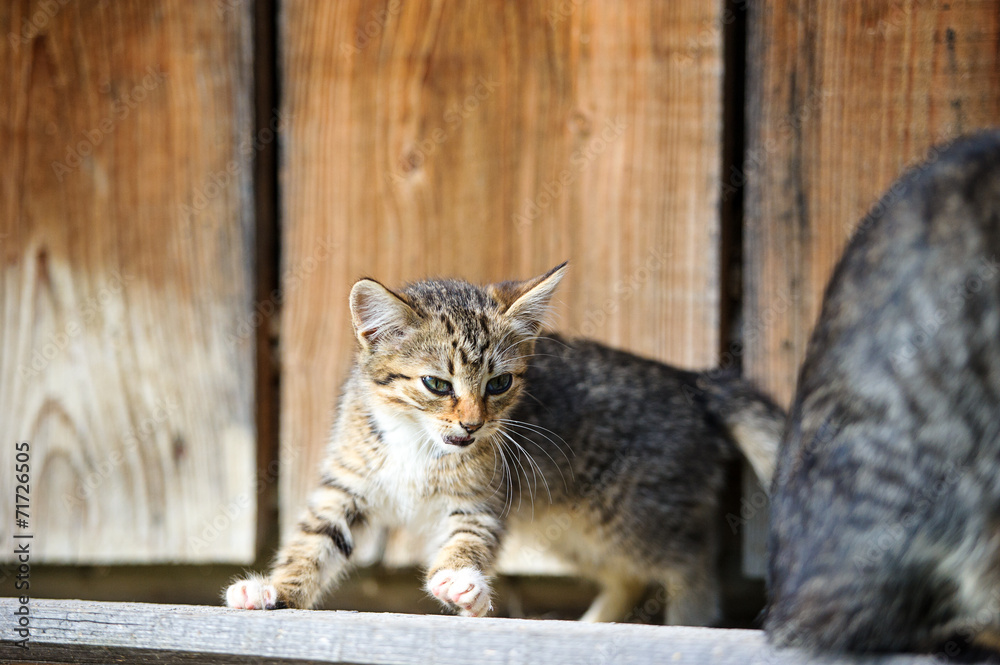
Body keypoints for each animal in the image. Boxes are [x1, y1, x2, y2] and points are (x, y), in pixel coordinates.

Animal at [225, 260, 780, 624]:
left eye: (499, 384)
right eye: (437, 384)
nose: (472, 426)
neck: (416, 443)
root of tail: (694, 381)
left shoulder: (481, 500)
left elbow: (467, 541)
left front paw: (461, 583)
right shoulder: (348, 485)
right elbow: (312, 541)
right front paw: (275, 589)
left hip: (630, 515)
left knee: (692, 560)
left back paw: (691, 620)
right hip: (568, 525)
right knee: (630, 576)